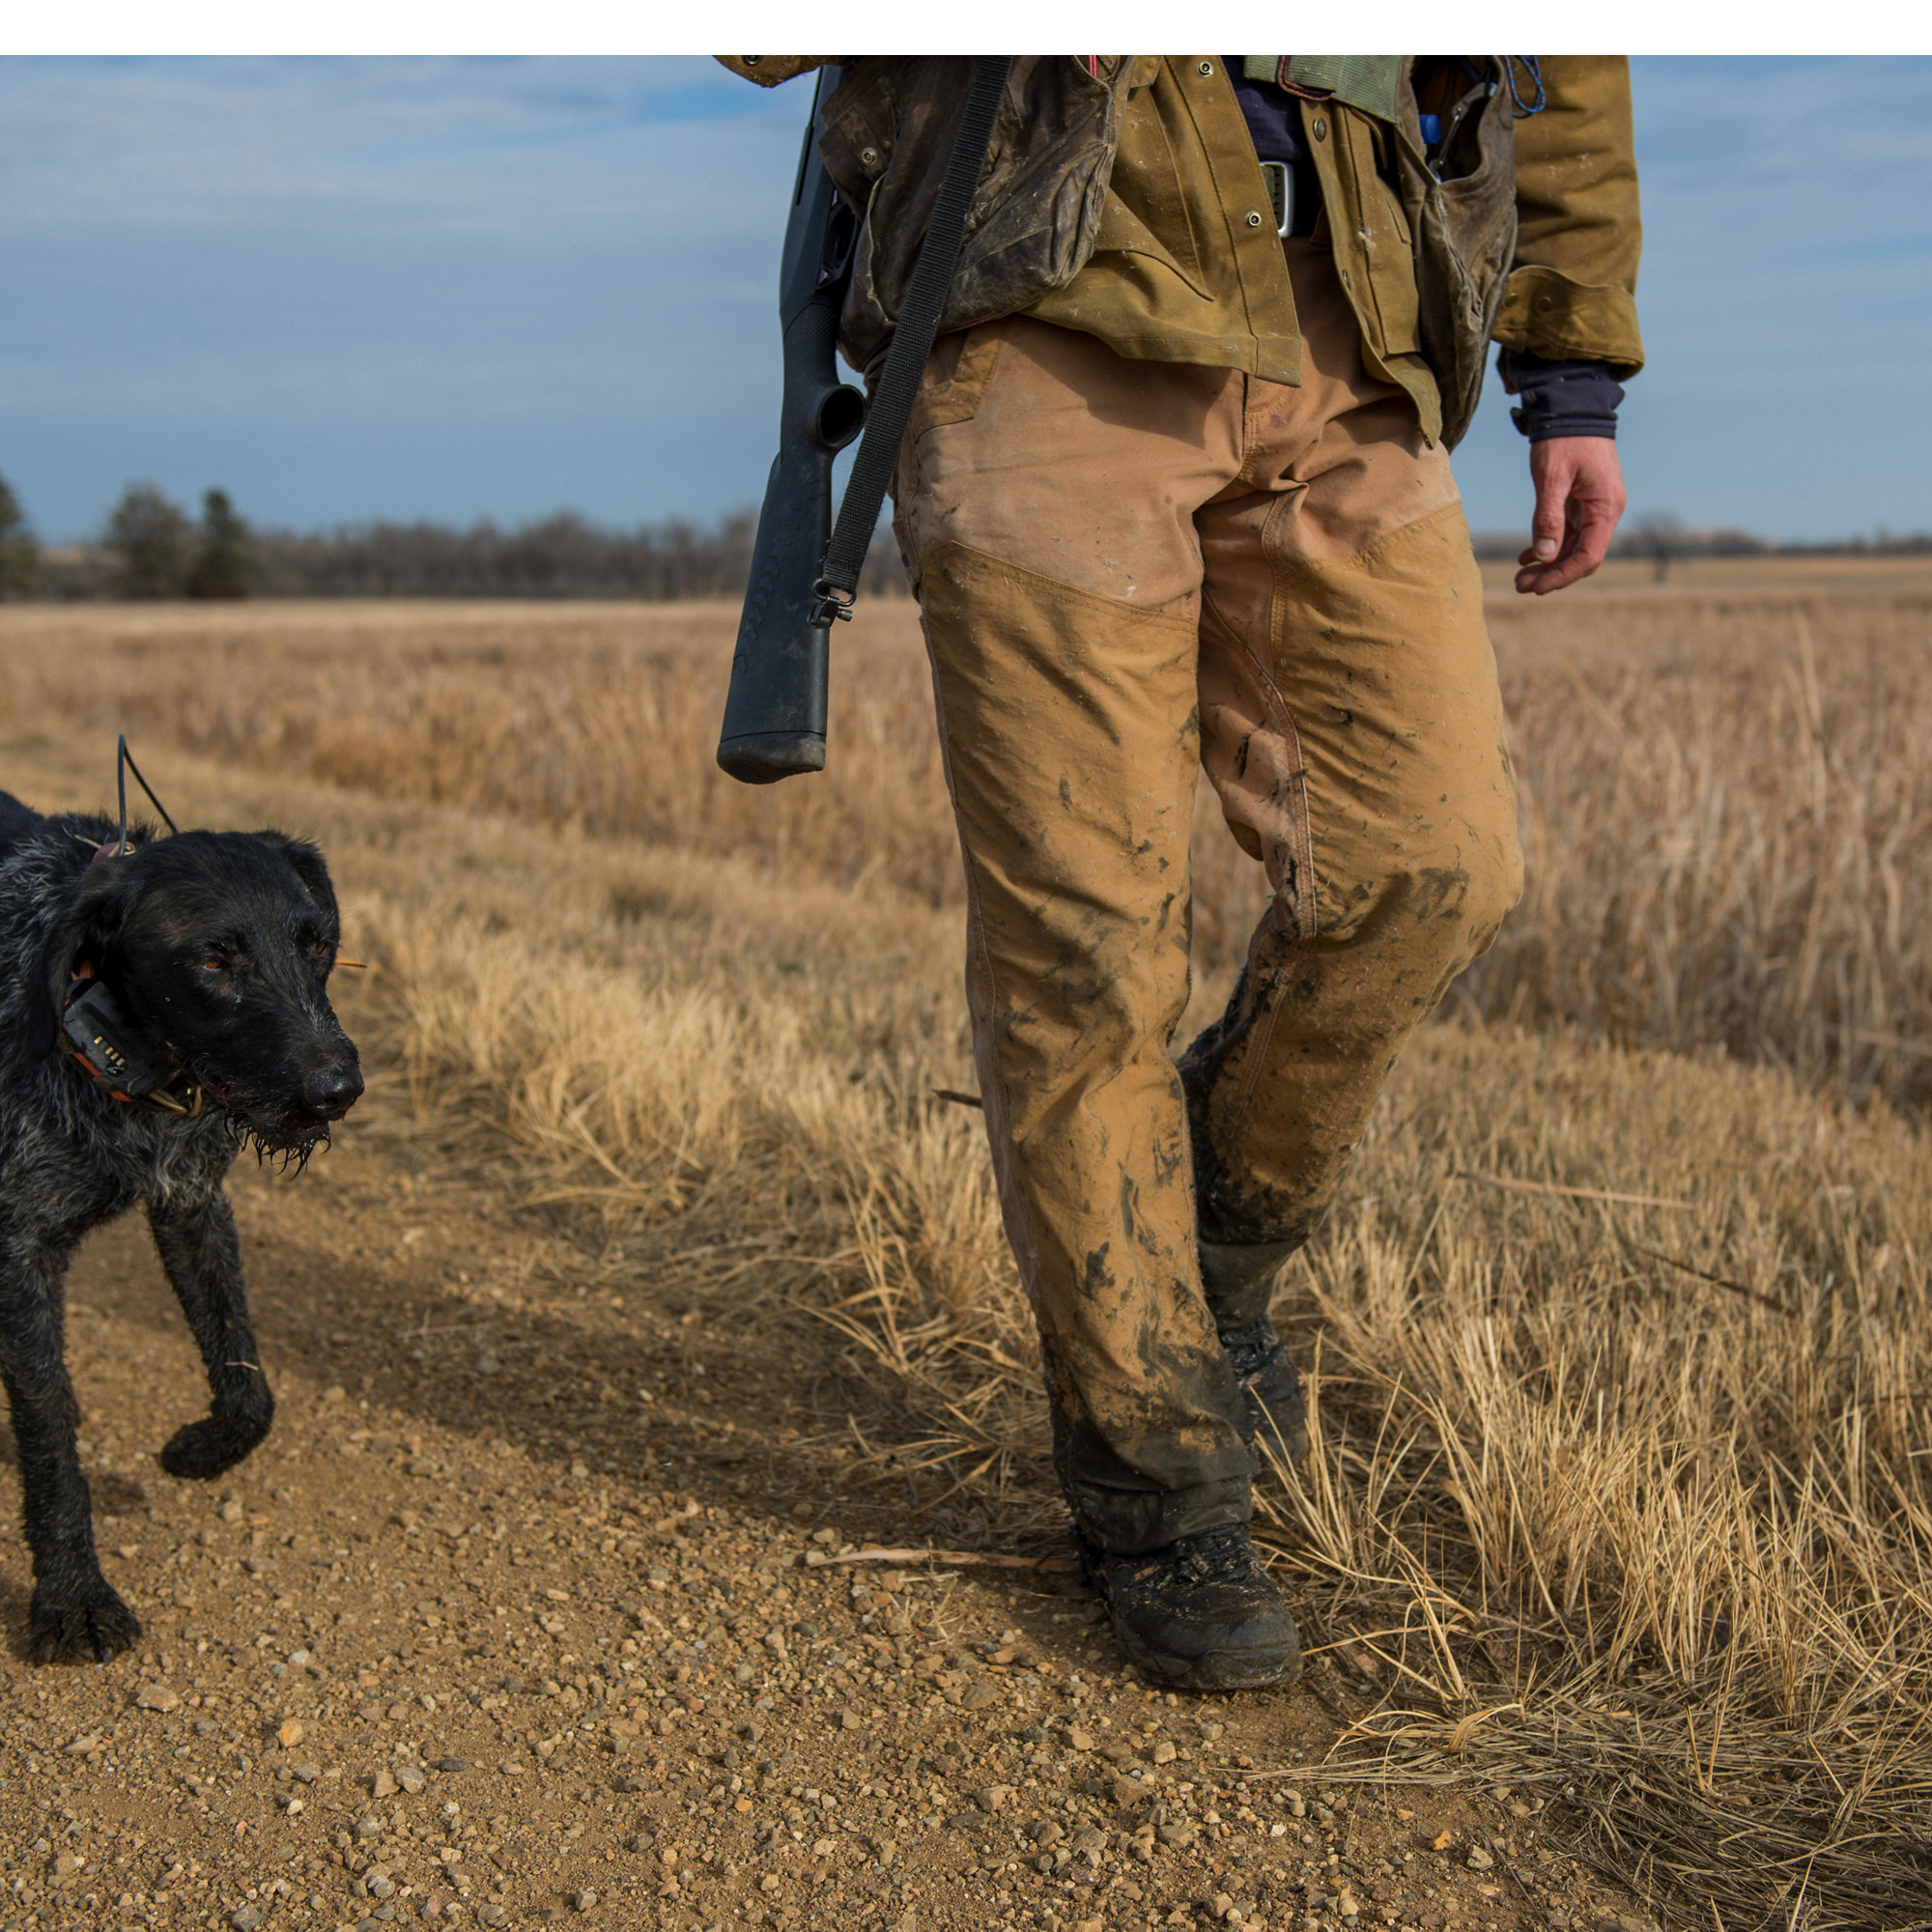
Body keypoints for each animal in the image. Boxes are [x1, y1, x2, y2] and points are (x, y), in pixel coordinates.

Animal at [0, 784, 363, 1662]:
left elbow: (247, 1381)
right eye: (212, 961)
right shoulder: (20, 1250)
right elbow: (49, 1427)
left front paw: (202, 1448)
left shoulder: (192, 1202)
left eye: (316, 944)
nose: (338, 1089)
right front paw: (73, 1597)